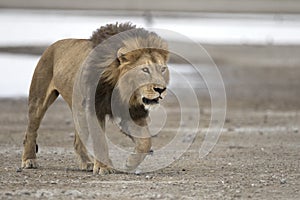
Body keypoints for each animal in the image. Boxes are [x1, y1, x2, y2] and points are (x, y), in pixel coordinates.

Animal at [21, 22, 169, 174]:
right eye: (145, 70)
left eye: (162, 69)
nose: (161, 89)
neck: (121, 89)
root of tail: (53, 45)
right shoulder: (95, 109)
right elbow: (100, 140)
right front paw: (103, 167)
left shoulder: (133, 112)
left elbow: (146, 142)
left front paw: (130, 163)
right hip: (39, 100)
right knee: (31, 131)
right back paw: (29, 160)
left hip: (79, 111)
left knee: (77, 140)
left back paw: (87, 162)